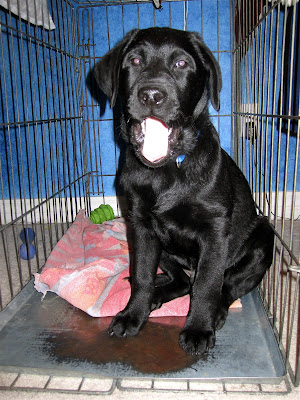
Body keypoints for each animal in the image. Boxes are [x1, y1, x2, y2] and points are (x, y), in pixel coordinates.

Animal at [94, 26, 274, 354]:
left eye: (181, 64)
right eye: (134, 60)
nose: (152, 94)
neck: (166, 171)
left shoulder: (214, 233)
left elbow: (207, 285)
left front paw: (198, 328)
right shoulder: (141, 228)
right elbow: (142, 274)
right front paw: (133, 314)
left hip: (262, 242)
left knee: (225, 286)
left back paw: (216, 313)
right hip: (165, 251)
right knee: (180, 281)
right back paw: (155, 293)